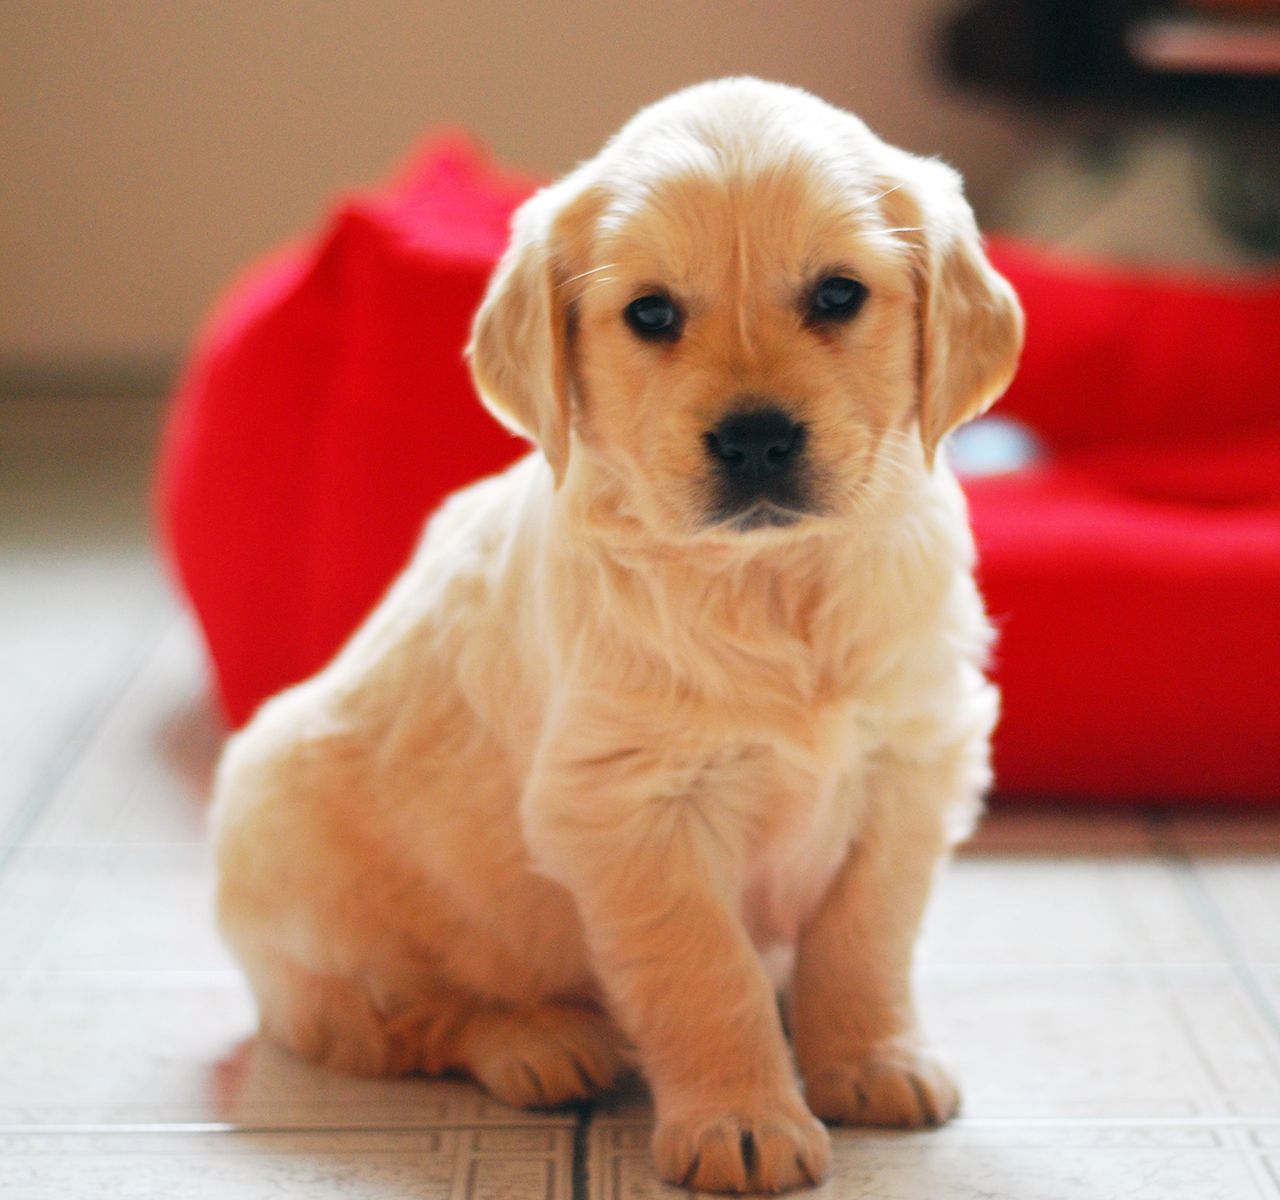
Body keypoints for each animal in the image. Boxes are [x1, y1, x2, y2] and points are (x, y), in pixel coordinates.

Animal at [215, 77, 1024, 1187]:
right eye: (650, 313)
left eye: (837, 295)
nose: (756, 439)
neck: (770, 581)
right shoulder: (630, 807)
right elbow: (705, 969)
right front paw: (742, 1121)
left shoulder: (911, 763)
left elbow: (863, 938)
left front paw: (870, 1060)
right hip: (300, 865)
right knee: (403, 1017)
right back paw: (541, 1042)